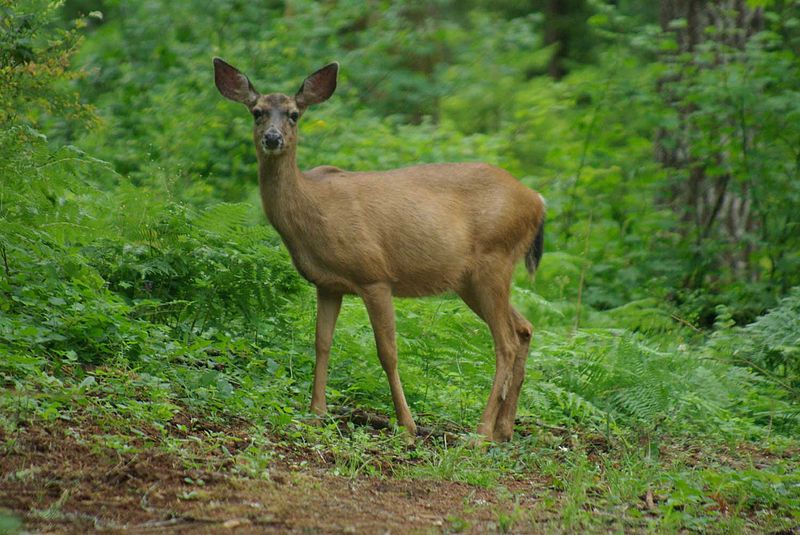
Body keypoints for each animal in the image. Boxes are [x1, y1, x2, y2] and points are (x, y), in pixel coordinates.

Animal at [216, 58, 548, 444]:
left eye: (294, 114)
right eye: (256, 112)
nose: (273, 138)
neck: (313, 210)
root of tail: (537, 201)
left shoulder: (374, 275)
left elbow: (387, 352)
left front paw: (407, 425)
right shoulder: (327, 284)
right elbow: (321, 343)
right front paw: (316, 413)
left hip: (494, 261)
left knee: (505, 343)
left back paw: (479, 435)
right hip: (471, 279)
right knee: (524, 328)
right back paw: (504, 430)